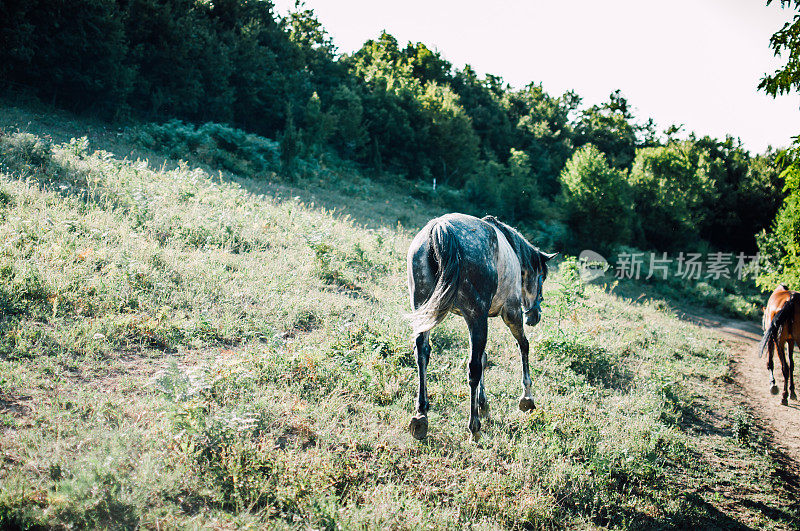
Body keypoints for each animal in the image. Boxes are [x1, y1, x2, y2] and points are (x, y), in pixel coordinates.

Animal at [406, 212, 556, 440]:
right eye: (542, 278)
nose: (534, 316)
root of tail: (441, 228)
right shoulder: (510, 312)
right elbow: (523, 346)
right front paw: (526, 398)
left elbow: (484, 357)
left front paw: (483, 403)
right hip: (477, 317)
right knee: (473, 367)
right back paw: (473, 427)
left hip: (424, 309)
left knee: (422, 353)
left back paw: (421, 415)